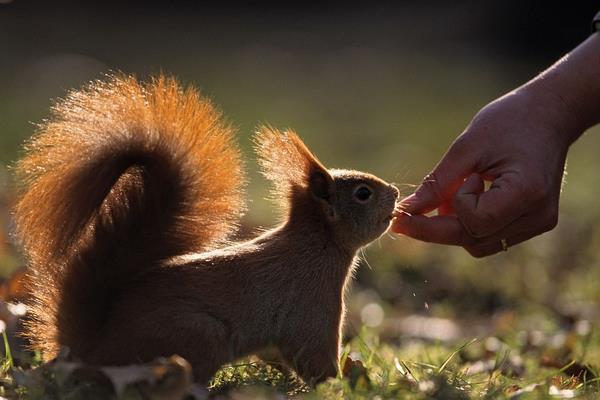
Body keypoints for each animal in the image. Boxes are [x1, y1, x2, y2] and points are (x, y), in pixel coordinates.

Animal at [12, 74, 398, 384]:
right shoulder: (310, 305)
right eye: (363, 193)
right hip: (198, 336)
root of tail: (94, 348)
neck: (316, 244)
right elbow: (313, 358)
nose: (395, 193)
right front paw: (345, 384)